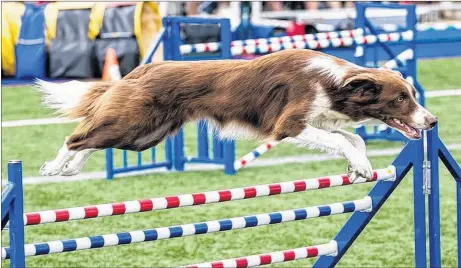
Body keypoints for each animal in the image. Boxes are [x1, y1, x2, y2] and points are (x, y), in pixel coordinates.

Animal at [35, 49, 434, 181]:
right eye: (401, 99)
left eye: (412, 95)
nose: (432, 122)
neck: (335, 84)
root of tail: (140, 70)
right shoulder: (289, 124)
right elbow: (342, 139)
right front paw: (361, 165)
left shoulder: (318, 120)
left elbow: (352, 138)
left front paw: (358, 166)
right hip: (134, 122)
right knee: (78, 136)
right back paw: (53, 167)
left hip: (145, 135)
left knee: (92, 139)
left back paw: (71, 168)